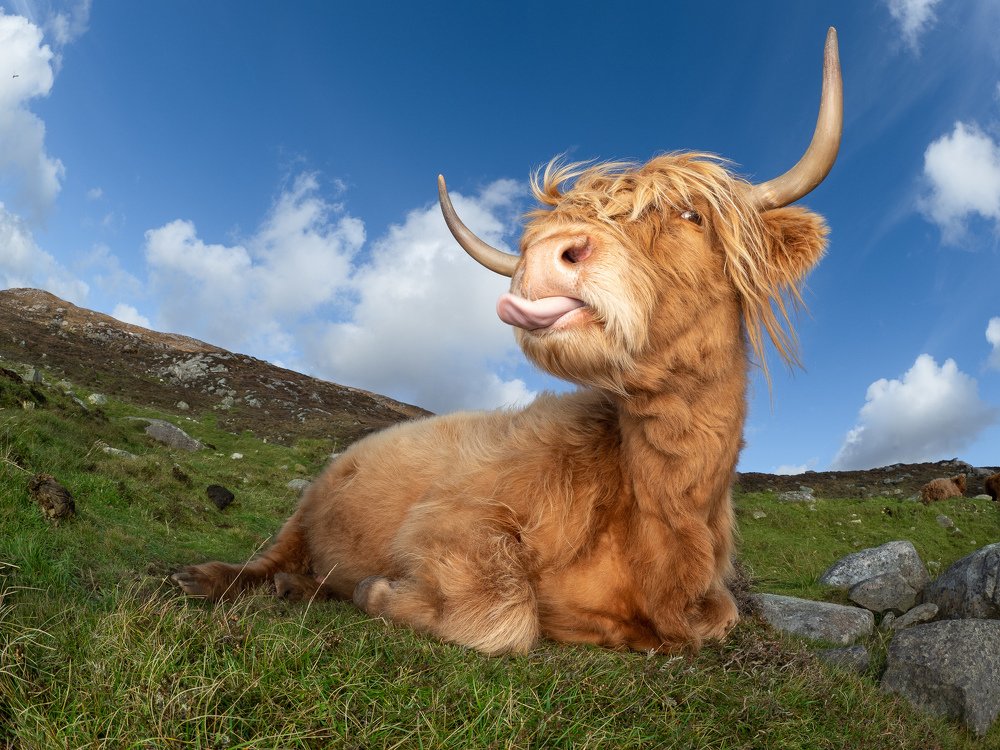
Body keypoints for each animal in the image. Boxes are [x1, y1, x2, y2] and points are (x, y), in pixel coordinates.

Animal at [173, 29, 843, 655]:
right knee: (269, 555)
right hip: (309, 501)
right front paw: (377, 591)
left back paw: (300, 587)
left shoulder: (711, 606)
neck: (666, 515)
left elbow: (719, 620)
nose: (544, 252)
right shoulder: (449, 520)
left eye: (691, 216)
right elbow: (505, 614)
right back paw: (206, 578)